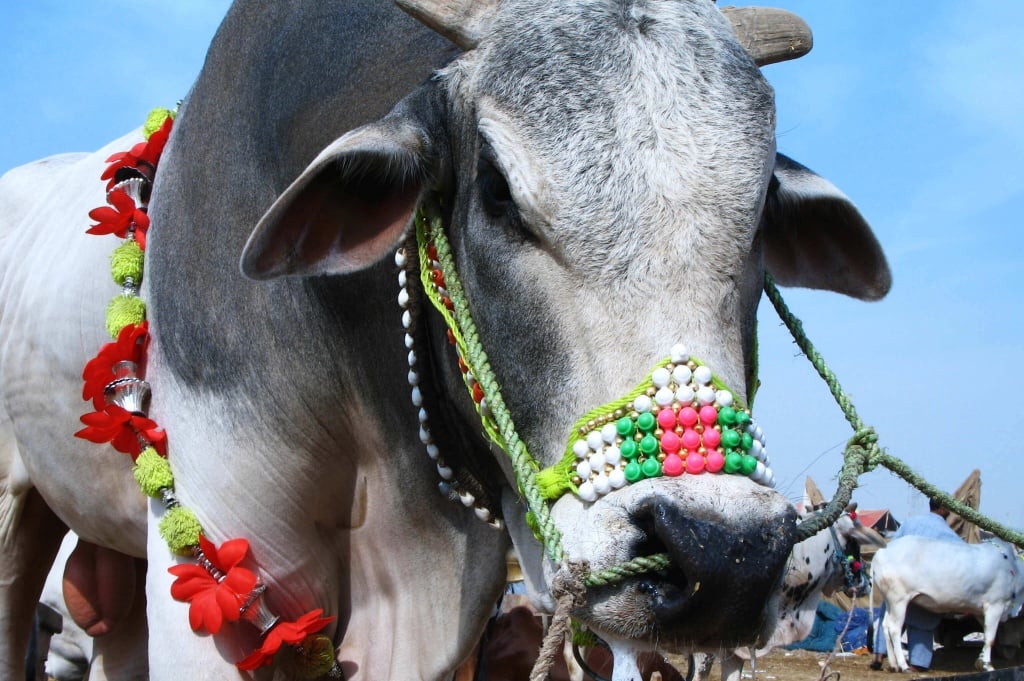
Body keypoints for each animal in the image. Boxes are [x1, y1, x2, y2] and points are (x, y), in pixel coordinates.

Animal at [872, 536, 1024, 675]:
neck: (1012, 567)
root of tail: (881, 552)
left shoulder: (981, 612)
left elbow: (986, 636)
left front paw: (981, 661)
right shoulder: (995, 605)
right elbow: (991, 639)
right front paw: (988, 665)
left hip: (890, 602)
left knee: (885, 625)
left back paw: (893, 665)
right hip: (899, 600)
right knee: (894, 629)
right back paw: (904, 666)